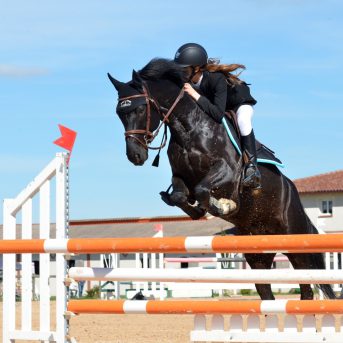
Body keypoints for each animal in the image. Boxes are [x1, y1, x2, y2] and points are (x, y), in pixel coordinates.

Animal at [109, 59, 338, 300]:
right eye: (119, 113)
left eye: (140, 108)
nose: (135, 155)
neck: (189, 129)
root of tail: (293, 192)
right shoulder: (181, 177)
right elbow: (181, 196)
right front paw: (199, 210)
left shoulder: (227, 172)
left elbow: (203, 189)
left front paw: (224, 206)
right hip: (258, 254)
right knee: (267, 292)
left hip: (295, 241)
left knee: (307, 286)